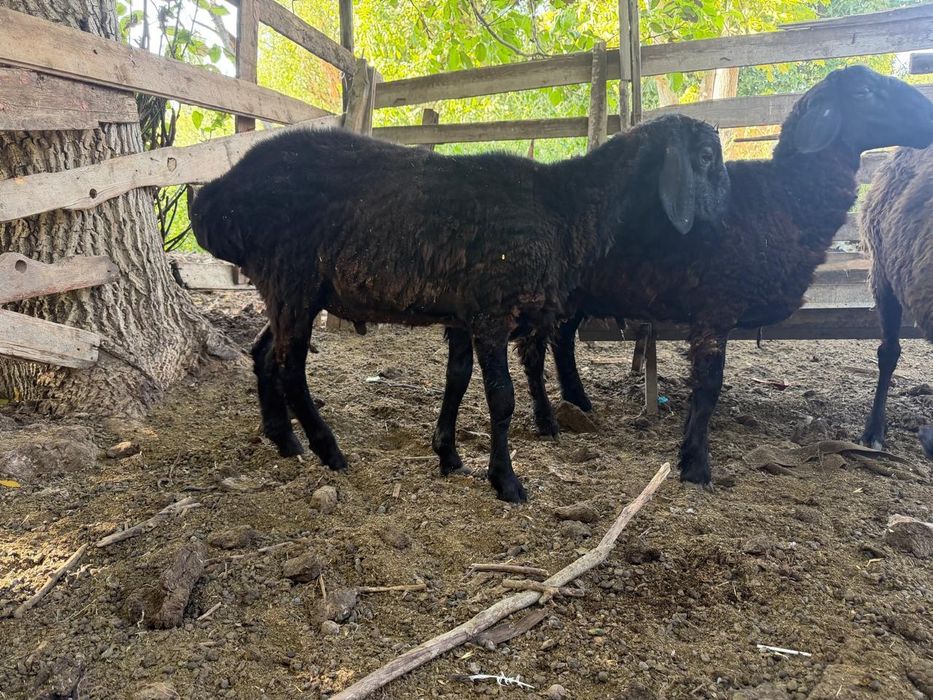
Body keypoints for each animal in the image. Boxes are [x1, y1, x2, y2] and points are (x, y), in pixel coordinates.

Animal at [190, 115, 728, 502]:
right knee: (289, 366)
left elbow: (457, 380)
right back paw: (329, 450)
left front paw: (448, 456)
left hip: (288, 289)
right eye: (705, 157)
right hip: (292, 277)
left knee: (265, 354)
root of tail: (217, 195)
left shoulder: (462, 315)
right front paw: (506, 481)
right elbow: (501, 398)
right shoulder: (493, 312)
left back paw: (285, 440)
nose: (726, 220)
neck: (567, 206)